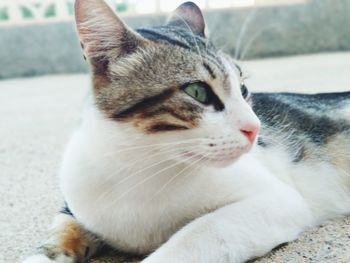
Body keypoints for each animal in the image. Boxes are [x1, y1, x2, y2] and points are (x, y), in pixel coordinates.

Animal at [22, 0, 350, 263]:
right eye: (198, 92)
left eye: (243, 90)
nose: (255, 128)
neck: (138, 168)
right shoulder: (75, 205)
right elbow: (59, 233)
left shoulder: (276, 201)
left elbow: (199, 235)